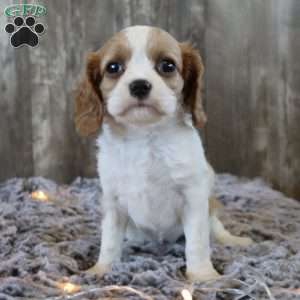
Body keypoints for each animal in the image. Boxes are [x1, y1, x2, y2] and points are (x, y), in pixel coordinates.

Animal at [74, 25, 251, 282]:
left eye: (167, 65)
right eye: (113, 67)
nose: (139, 85)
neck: (145, 138)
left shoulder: (194, 196)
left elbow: (197, 242)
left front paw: (203, 275)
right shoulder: (113, 201)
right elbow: (109, 240)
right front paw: (101, 269)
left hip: (210, 201)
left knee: (215, 224)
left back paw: (233, 240)